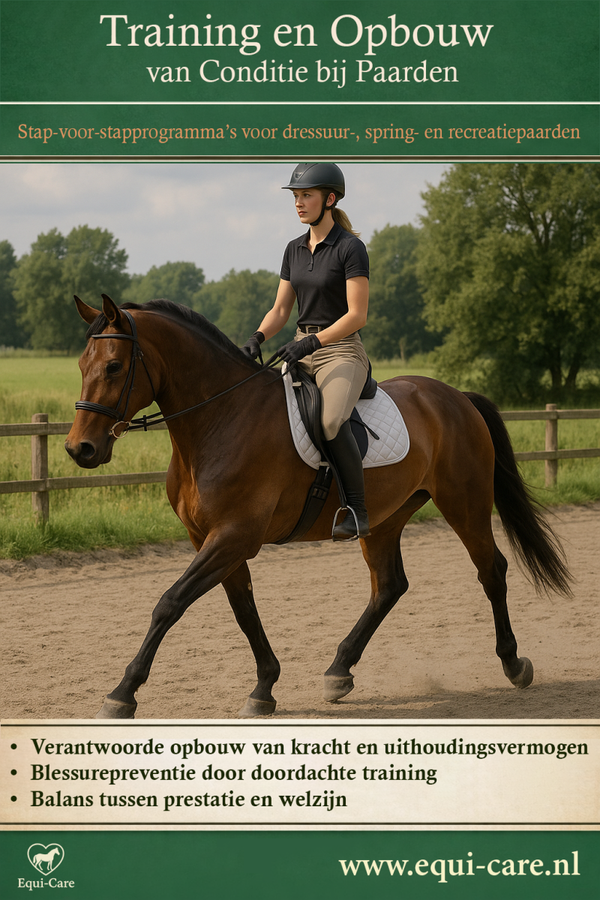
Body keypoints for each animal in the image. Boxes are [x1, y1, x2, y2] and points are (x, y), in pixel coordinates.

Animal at [65, 294, 571, 718]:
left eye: (114, 367)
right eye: (81, 364)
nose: (79, 449)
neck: (220, 419)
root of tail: (454, 396)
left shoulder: (233, 536)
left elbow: (169, 603)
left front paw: (121, 694)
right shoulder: (212, 539)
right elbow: (242, 608)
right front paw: (264, 688)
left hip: (464, 503)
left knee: (491, 570)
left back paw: (513, 663)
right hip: (384, 518)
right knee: (389, 585)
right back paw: (339, 671)